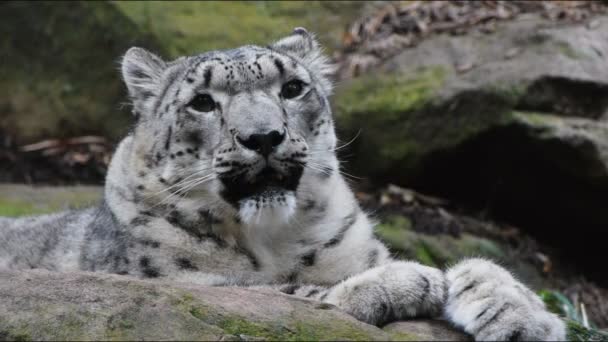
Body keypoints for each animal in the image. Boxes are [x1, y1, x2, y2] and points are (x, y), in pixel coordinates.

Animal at [0, 28, 564, 340]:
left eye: (293, 88)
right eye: (201, 102)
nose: (263, 136)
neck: (276, 238)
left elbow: (484, 270)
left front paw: (521, 312)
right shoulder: (181, 284)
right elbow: (285, 293)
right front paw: (409, 281)